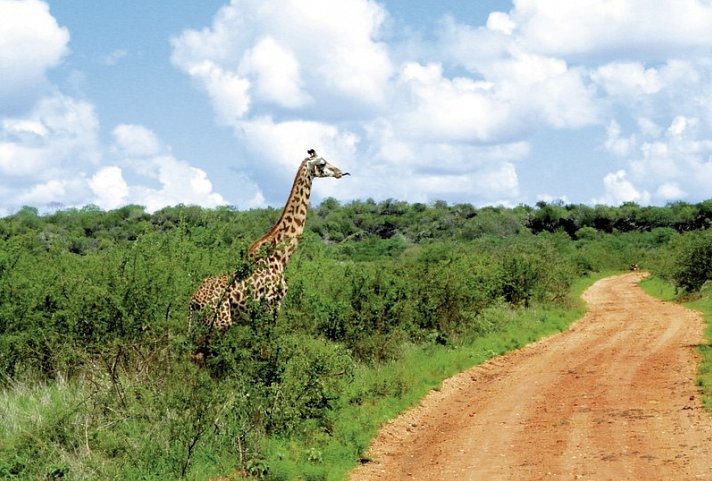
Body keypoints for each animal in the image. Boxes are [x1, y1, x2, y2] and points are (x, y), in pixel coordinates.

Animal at [186, 149, 348, 334]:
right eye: (322, 163)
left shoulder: (258, 314)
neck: (280, 256)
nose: (339, 172)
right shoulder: (271, 306)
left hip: (202, 324)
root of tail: (193, 302)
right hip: (220, 322)